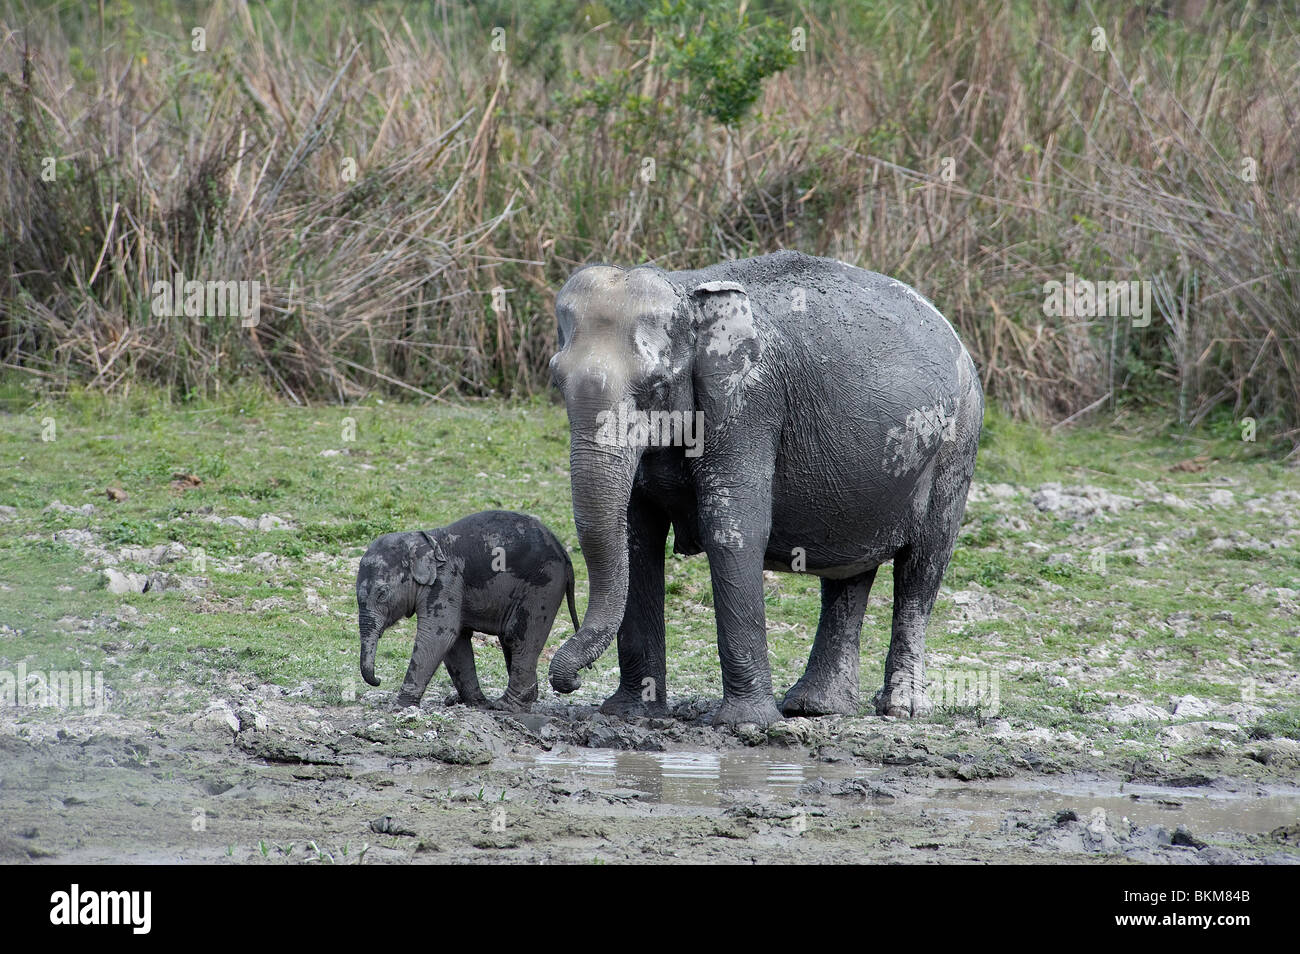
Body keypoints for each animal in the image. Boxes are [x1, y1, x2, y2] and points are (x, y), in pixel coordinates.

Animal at [356, 514, 579, 712]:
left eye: (382, 594)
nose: (378, 680)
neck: (420, 541)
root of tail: (564, 552)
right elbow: (456, 643)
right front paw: (478, 704)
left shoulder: (446, 581)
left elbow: (439, 636)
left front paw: (399, 707)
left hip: (543, 585)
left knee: (518, 637)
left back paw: (506, 706)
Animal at [543, 250, 977, 727]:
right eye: (557, 380)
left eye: (656, 387)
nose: (569, 682)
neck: (687, 291)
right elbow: (637, 537)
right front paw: (629, 715)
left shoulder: (748, 403)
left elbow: (732, 529)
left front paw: (747, 723)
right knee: (848, 576)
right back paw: (816, 707)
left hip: (956, 445)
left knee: (923, 566)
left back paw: (900, 709)